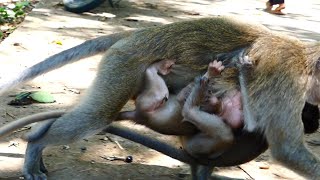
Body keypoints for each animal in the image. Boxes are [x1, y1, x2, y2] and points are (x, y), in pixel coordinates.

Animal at [0, 16, 320, 179]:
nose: (315, 118)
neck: (306, 63)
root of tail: (139, 33)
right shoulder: (285, 79)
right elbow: (288, 149)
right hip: (124, 64)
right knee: (96, 116)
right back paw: (36, 146)